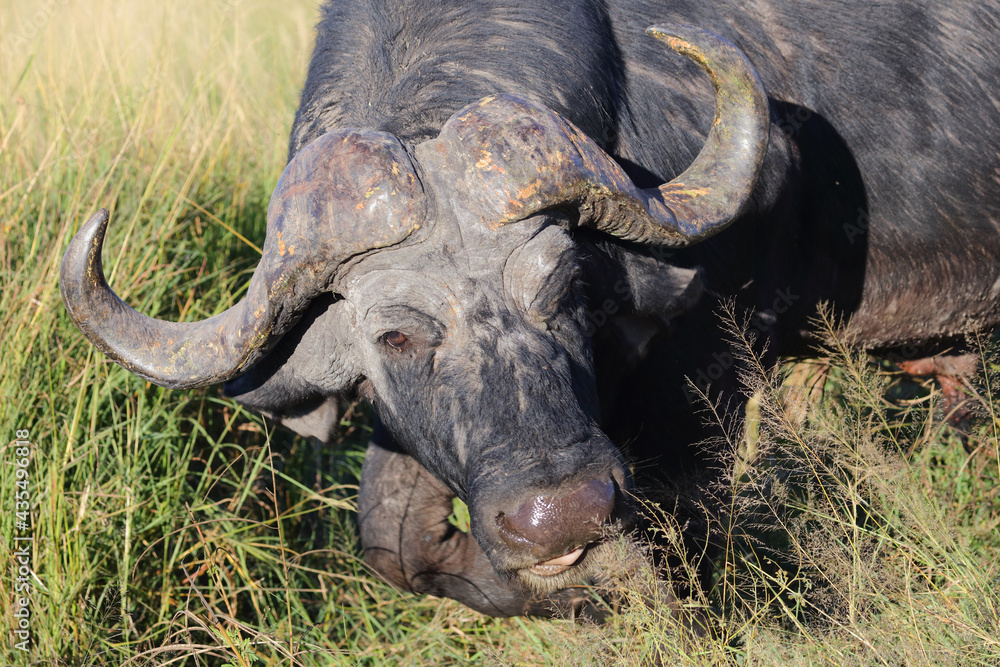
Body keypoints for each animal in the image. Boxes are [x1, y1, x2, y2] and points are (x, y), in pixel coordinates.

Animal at [61, 0, 1000, 618]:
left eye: (567, 290)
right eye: (394, 334)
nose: (565, 512)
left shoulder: (709, 379)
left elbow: (687, 534)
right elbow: (399, 546)